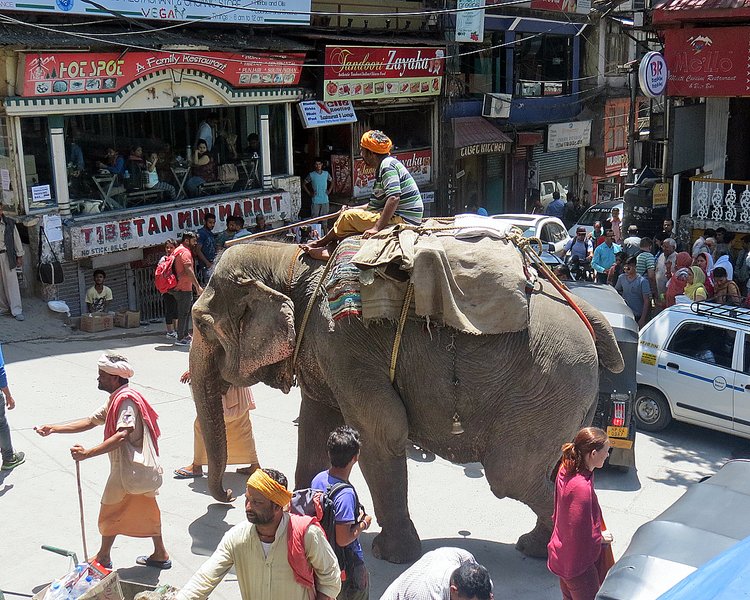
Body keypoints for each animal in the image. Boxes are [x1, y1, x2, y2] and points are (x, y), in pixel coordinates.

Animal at [191, 239, 624, 564]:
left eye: (200, 324)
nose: (229, 496)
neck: (290, 260)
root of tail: (588, 317)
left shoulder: (343, 345)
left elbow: (382, 431)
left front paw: (391, 555)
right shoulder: (324, 354)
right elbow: (316, 423)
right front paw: (302, 517)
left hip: (548, 384)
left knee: (509, 474)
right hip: (567, 396)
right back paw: (539, 547)